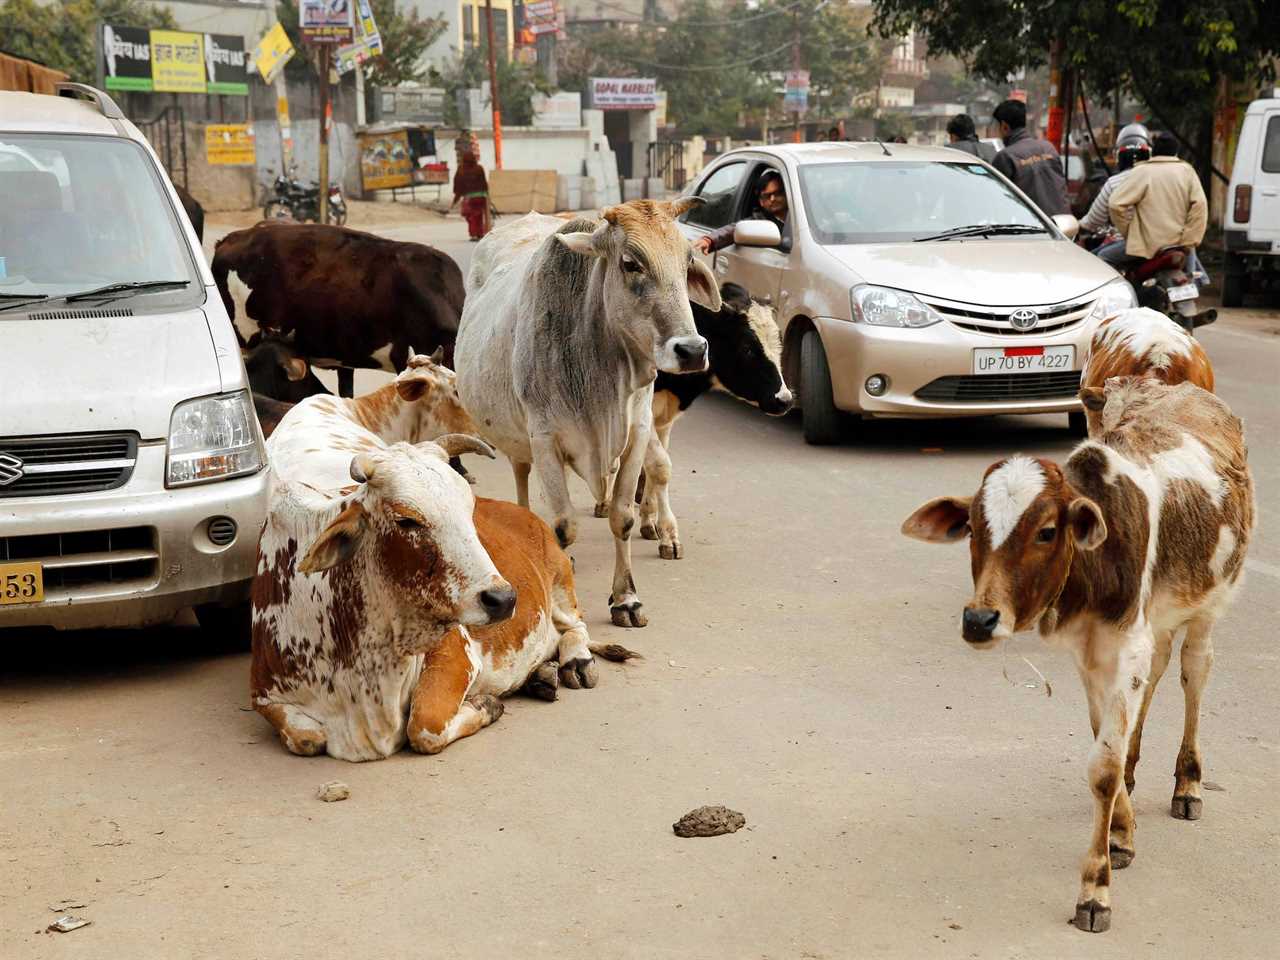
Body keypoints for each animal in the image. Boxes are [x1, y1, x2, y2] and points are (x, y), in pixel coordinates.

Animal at [458, 199, 721, 627]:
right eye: (630, 263)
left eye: (687, 262)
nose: (692, 350)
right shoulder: (544, 439)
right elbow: (565, 525)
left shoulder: (637, 434)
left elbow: (622, 517)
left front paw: (626, 599)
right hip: (516, 437)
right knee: (522, 480)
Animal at [906, 378, 1254, 936]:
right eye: (974, 530)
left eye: (1047, 530)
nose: (979, 620)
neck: (1095, 563)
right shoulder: (1092, 652)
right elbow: (1102, 746)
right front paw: (1120, 832)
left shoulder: (1126, 644)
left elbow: (1102, 769)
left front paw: (1095, 890)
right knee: (1157, 673)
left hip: (1210, 604)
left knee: (1193, 673)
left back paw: (1188, 784)